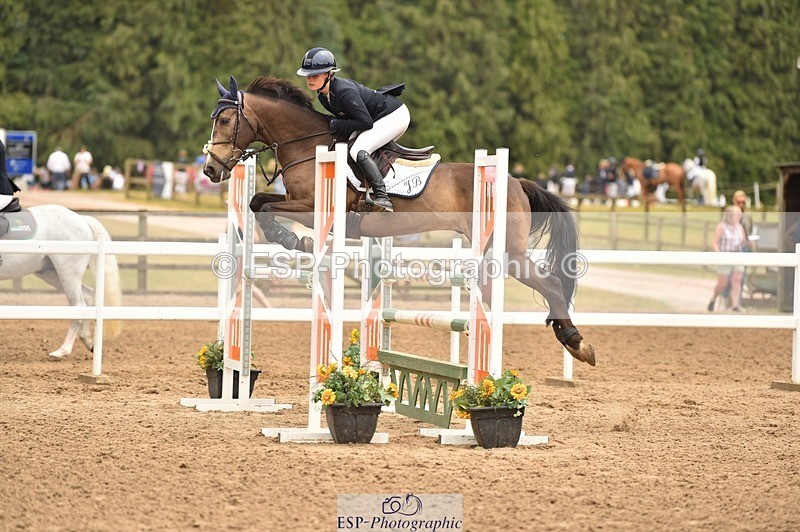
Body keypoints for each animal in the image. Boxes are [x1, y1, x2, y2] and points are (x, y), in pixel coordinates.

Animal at [0, 205, 123, 358]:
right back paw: (88, 342)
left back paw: (63, 350)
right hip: (51, 273)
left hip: (67, 273)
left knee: (79, 307)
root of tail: (82, 219)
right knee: (87, 295)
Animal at [202, 76, 595, 366]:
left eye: (225, 121)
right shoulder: (299, 202)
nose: (209, 170)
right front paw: (295, 240)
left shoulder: (314, 206)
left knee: (551, 285)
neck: (308, 146)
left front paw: (297, 241)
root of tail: (517, 181)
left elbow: (264, 207)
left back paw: (577, 343)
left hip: (509, 250)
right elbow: (257, 202)